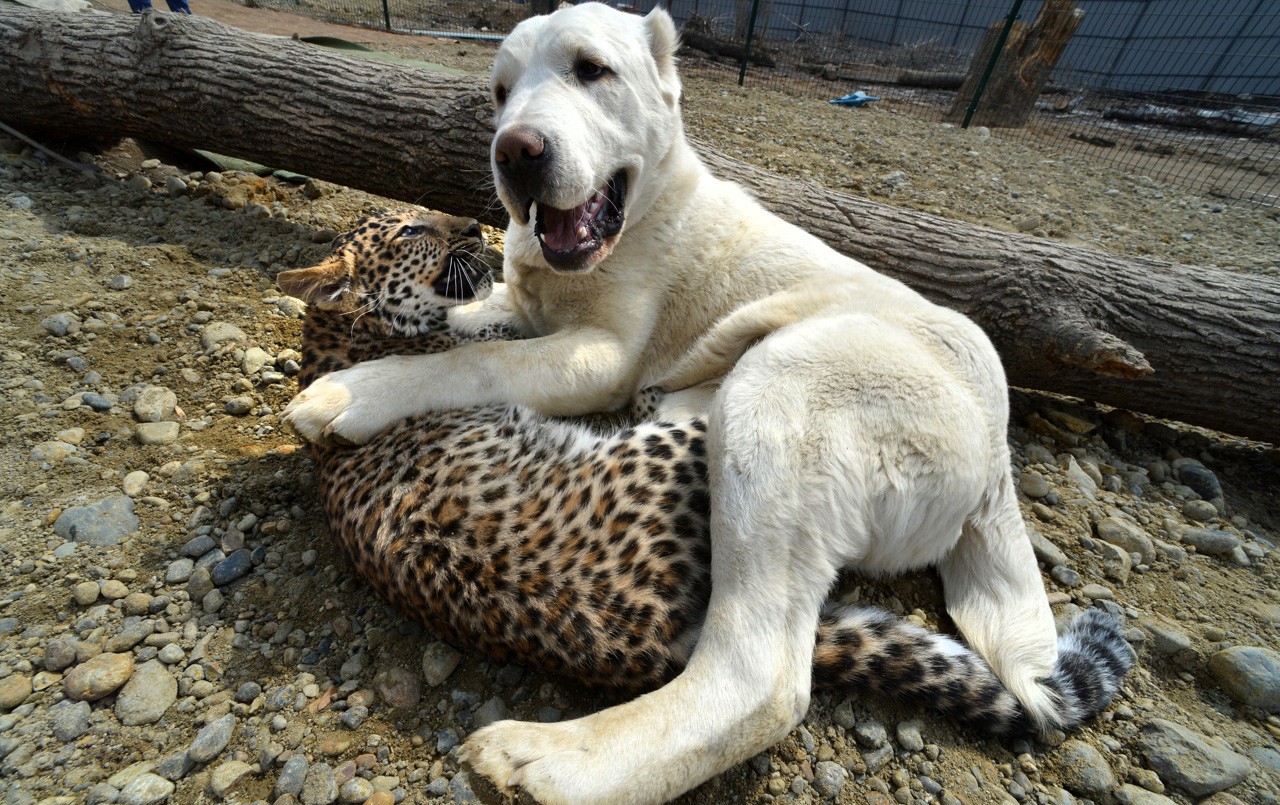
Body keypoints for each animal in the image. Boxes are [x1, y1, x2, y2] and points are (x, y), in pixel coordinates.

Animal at [277, 209, 1134, 735]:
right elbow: (476, 354)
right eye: (415, 229)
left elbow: (487, 331)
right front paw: (345, 395)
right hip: (739, 416)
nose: (475, 225)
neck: (344, 331)